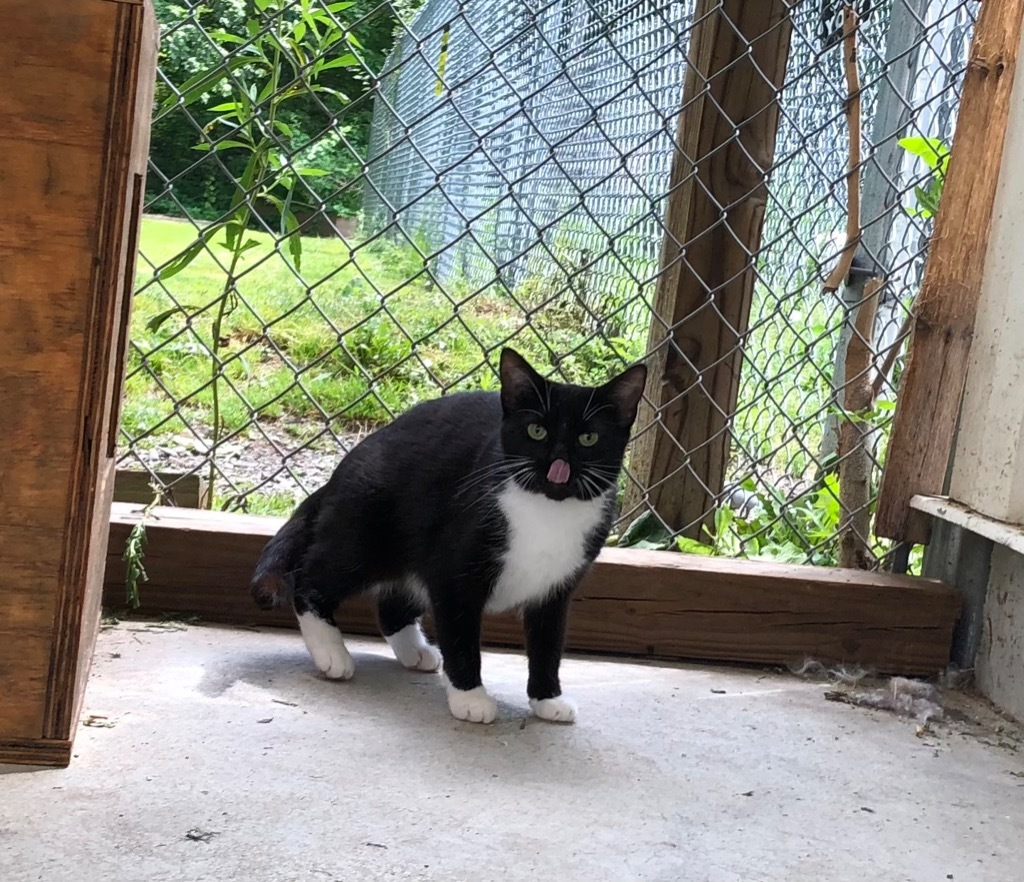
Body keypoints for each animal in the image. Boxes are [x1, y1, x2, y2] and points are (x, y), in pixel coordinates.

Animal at [250, 348, 643, 725]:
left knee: (392, 604)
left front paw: (548, 700)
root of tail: (344, 466)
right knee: (310, 579)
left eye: (589, 437)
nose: (558, 462)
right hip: (366, 535)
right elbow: (460, 636)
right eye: (536, 431)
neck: (547, 511)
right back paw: (332, 653)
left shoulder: (557, 588)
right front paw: (470, 698)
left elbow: (548, 643)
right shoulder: (454, 571)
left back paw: (415, 651)